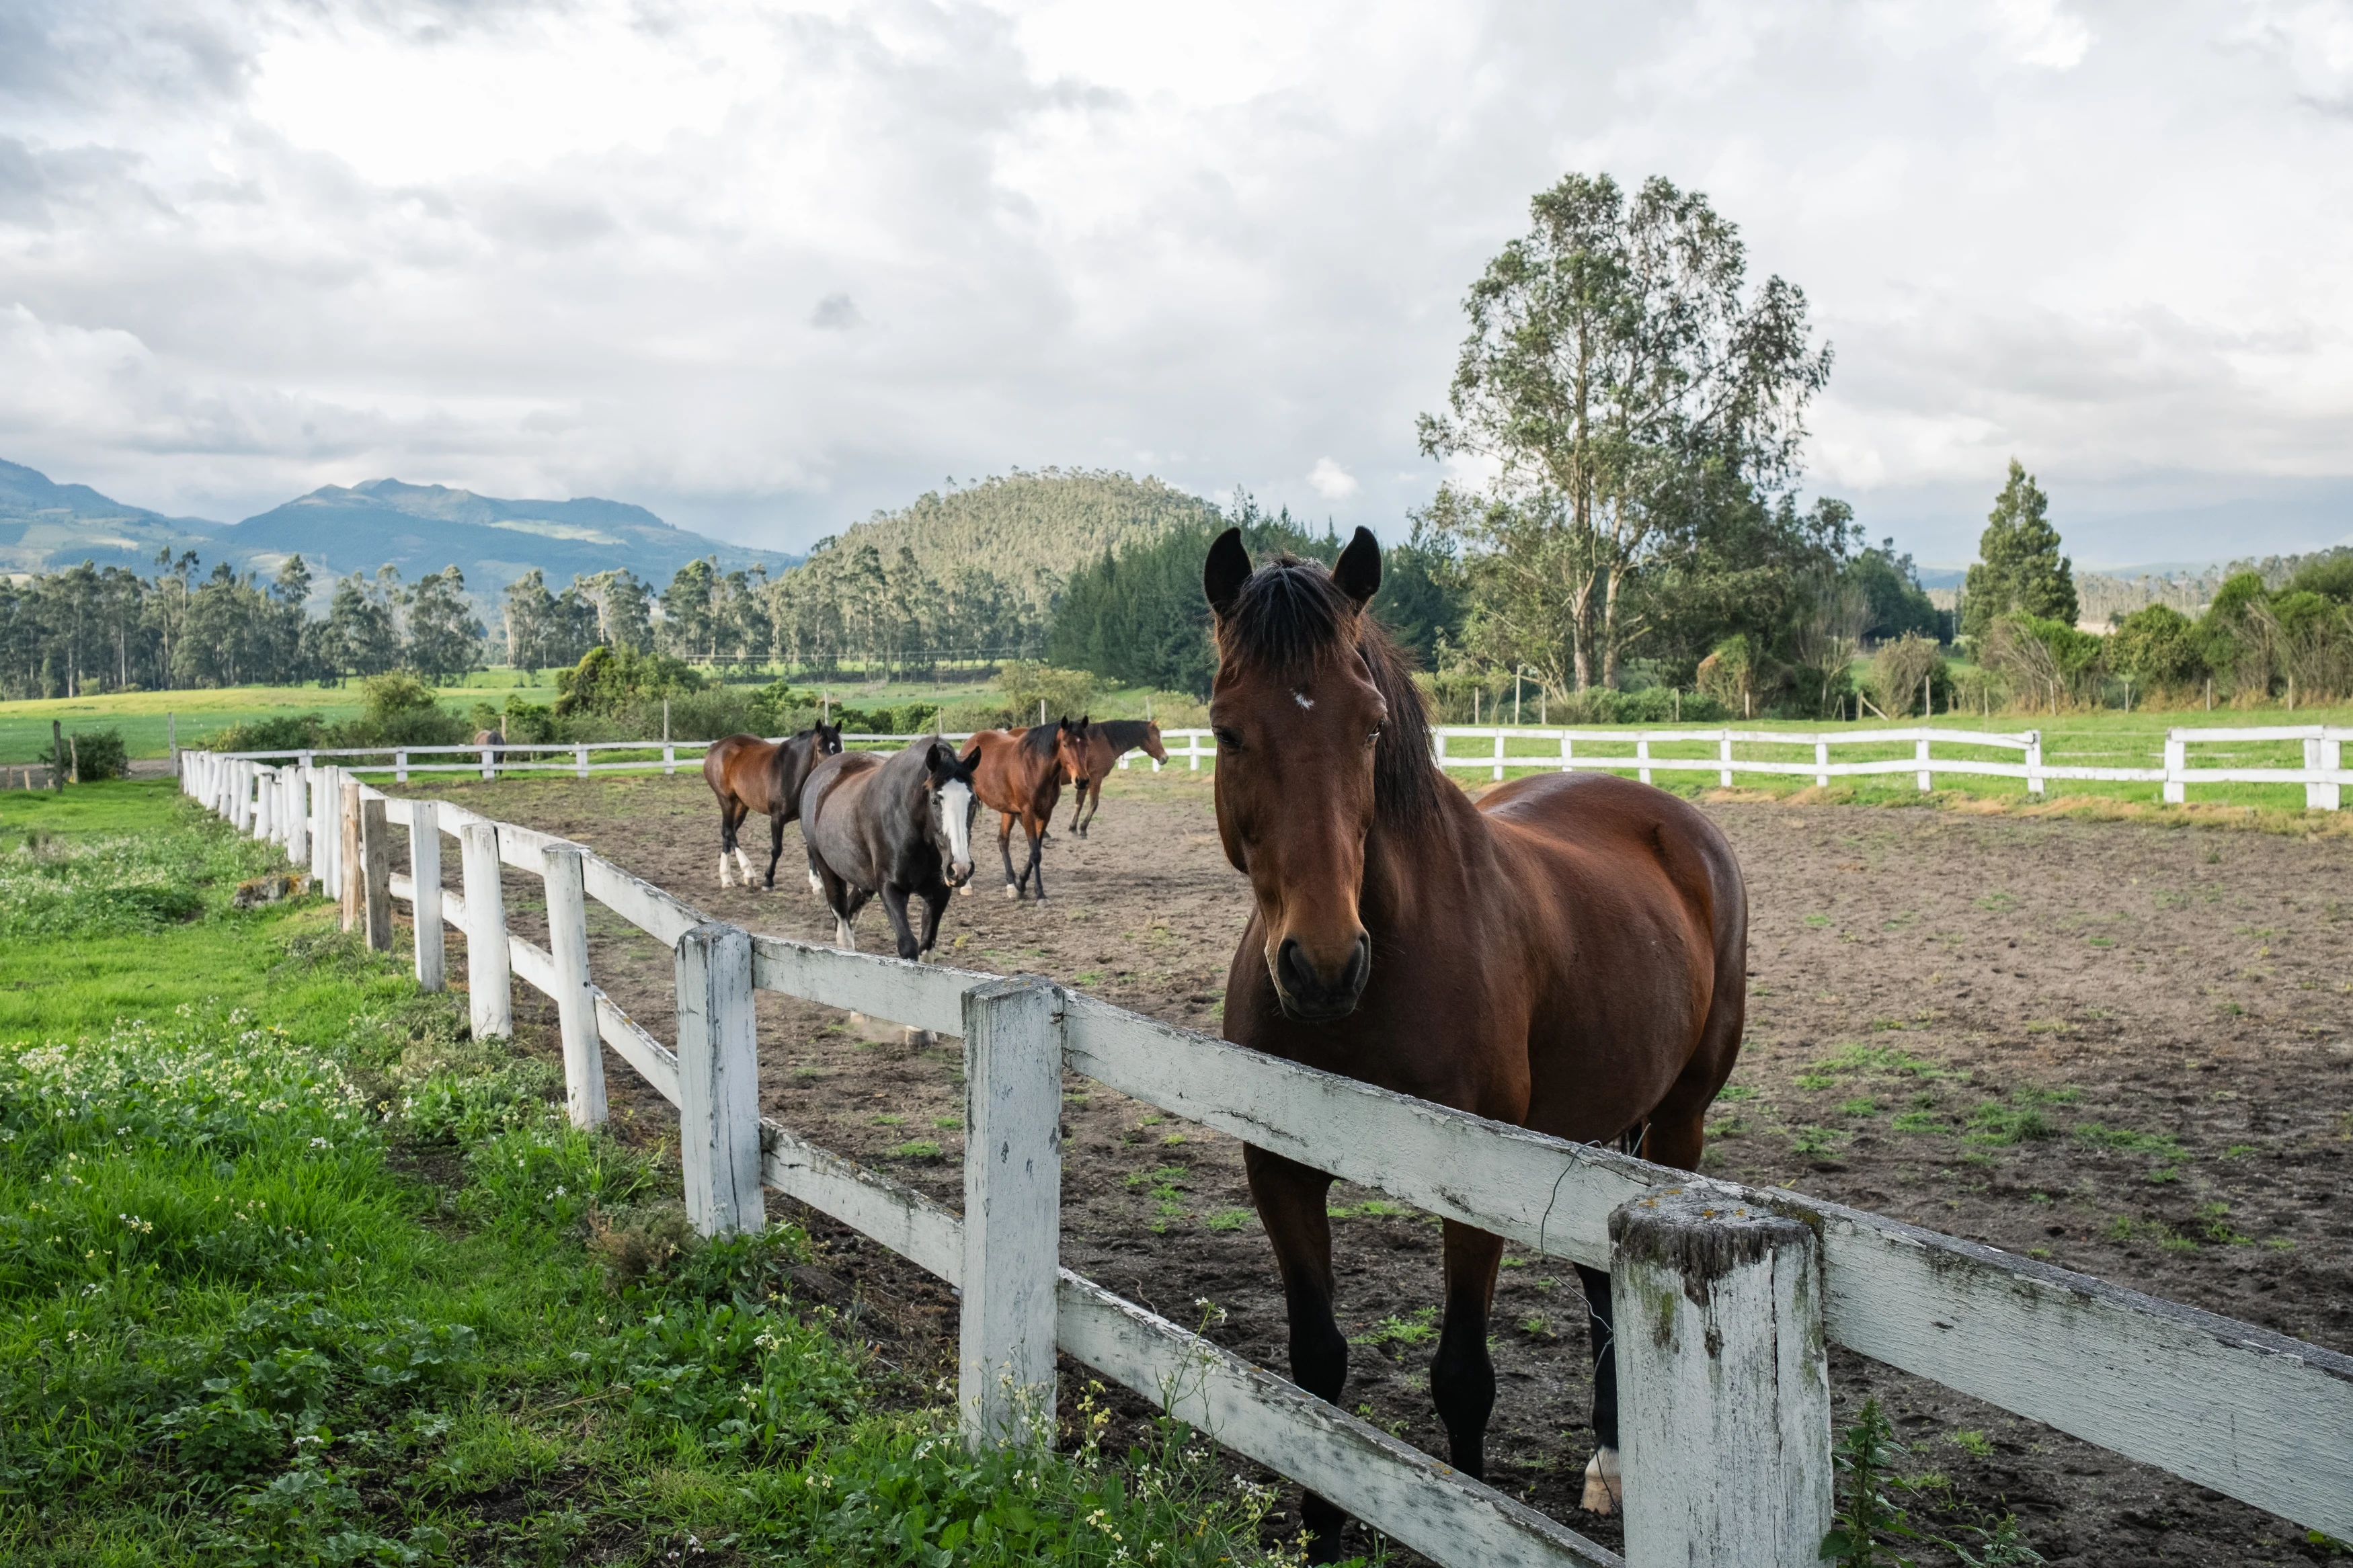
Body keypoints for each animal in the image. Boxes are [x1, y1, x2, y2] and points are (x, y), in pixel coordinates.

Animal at [700, 724, 844, 890]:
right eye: (820, 749)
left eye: (840, 747)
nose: (835, 773)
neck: (791, 771)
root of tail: (715, 747)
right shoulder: (777, 818)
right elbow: (776, 849)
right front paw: (768, 880)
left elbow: (810, 848)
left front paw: (816, 883)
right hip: (726, 800)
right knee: (730, 833)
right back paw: (748, 873)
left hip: (742, 804)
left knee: (727, 833)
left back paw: (726, 878)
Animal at [796, 739, 979, 958]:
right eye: (935, 800)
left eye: (973, 801)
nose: (960, 868)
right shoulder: (890, 889)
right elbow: (908, 945)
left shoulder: (939, 893)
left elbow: (927, 947)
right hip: (828, 870)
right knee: (843, 928)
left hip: (864, 882)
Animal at [959, 720, 1088, 901]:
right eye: (1065, 745)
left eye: (1086, 744)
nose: (1082, 781)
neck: (1035, 767)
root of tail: (971, 741)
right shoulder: (1027, 813)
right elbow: (1035, 853)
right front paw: (1040, 894)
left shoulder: (1046, 814)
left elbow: (1036, 851)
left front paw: (1021, 885)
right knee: (968, 837)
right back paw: (966, 885)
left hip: (1007, 810)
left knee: (1003, 840)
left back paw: (1011, 884)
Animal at [1060, 718, 1169, 838]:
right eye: (1158, 736)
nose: (1165, 758)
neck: (1103, 742)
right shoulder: (1096, 778)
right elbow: (1094, 804)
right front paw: (1083, 828)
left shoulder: (1084, 782)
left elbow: (1079, 803)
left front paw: (1073, 828)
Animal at [1201, 526, 1747, 1556]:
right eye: (1225, 729)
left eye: (1370, 727)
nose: (1324, 965)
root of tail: (1676, 819)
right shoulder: (1280, 1167)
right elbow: (1315, 1365)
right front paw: (1323, 1534)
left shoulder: (1473, 1181)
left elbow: (1462, 1377)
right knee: (1594, 1272)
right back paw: (1611, 1458)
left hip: (1676, 1119)